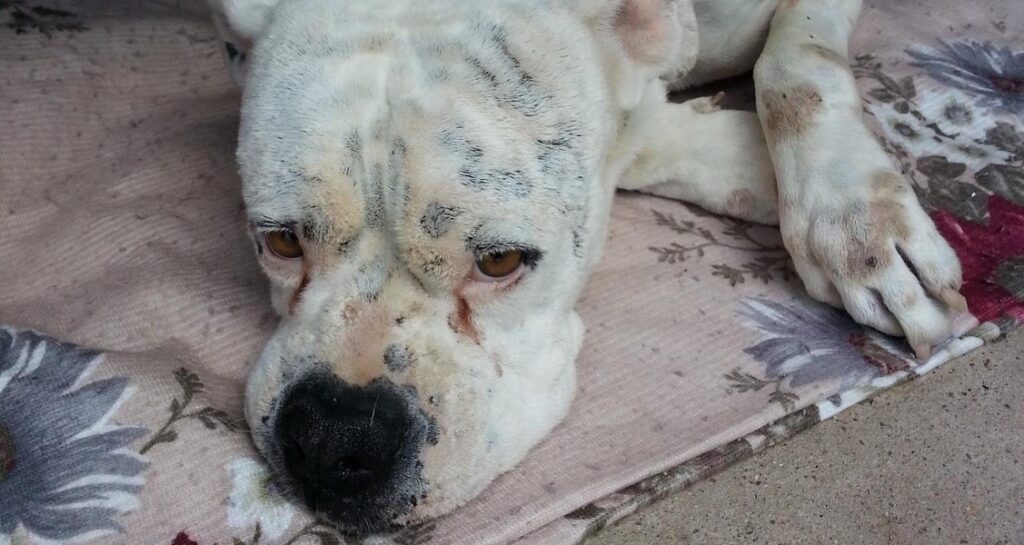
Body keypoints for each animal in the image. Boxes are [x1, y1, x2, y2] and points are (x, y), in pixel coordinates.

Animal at [209, 0, 966, 532]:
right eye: (279, 242)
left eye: (500, 261)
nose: (333, 435)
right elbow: (649, 135)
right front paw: (738, 160)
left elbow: (794, 66)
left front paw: (857, 219)